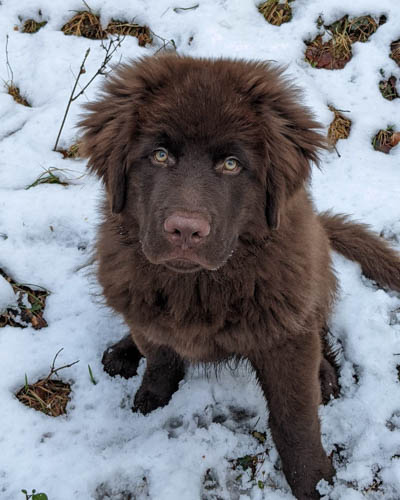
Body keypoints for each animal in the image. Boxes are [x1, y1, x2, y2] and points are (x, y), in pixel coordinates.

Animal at [79, 52, 400, 498]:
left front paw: (316, 482)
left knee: (317, 324)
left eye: (231, 164)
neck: (198, 286)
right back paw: (123, 351)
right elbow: (160, 354)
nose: (185, 230)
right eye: (159, 155)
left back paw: (324, 375)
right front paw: (152, 396)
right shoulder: (146, 310)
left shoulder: (284, 336)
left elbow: (295, 417)